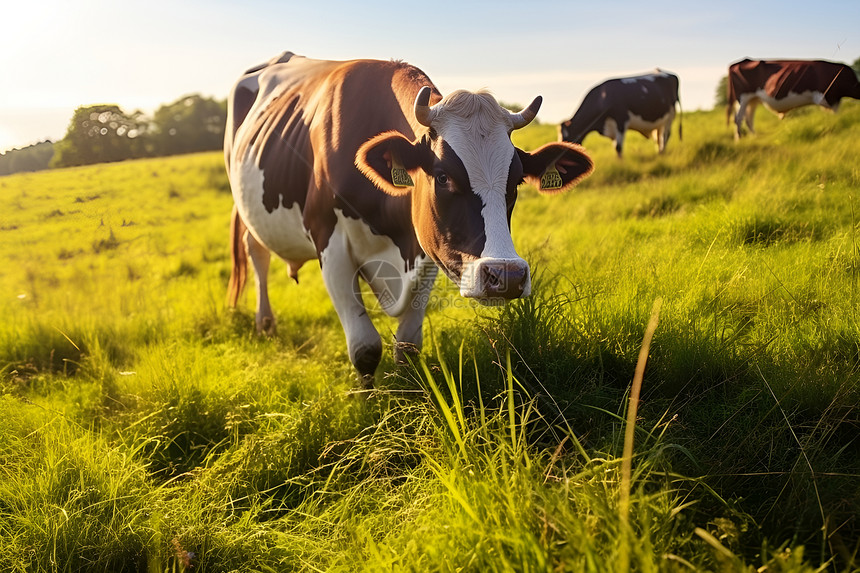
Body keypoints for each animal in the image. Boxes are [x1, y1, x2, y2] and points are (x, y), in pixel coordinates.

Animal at [225, 52, 596, 384]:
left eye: (516, 181)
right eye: (443, 177)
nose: (506, 275)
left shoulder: (426, 254)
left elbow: (408, 346)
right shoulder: (330, 244)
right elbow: (365, 349)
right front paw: (369, 407)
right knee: (255, 252)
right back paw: (265, 324)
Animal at [556, 70, 684, 158]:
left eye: (565, 137)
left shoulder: (621, 121)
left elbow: (618, 148)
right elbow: (615, 147)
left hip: (670, 117)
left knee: (664, 137)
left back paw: (662, 154)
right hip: (659, 122)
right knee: (658, 139)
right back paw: (659, 154)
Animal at [724, 57, 860, 139]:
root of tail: (742, 61)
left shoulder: (834, 100)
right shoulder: (829, 97)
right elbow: (835, 116)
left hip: (753, 100)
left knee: (748, 119)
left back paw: (755, 137)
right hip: (742, 98)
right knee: (738, 119)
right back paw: (739, 139)